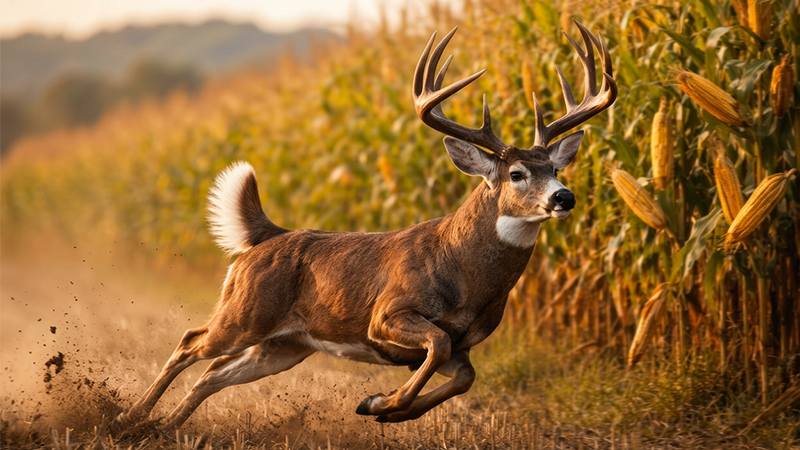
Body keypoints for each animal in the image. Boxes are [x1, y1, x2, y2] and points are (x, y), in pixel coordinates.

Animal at [116, 20, 616, 430]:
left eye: (556, 168)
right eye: (516, 174)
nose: (564, 197)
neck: (465, 275)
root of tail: (268, 235)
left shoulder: (465, 347)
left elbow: (464, 376)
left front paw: (384, 406)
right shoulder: (387, 313)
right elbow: (437, 343)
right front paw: (381, 401)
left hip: (284, 345)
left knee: (212, 374)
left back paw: (160, 428)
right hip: (246, 311)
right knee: (190, 342)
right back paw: (129, 416)